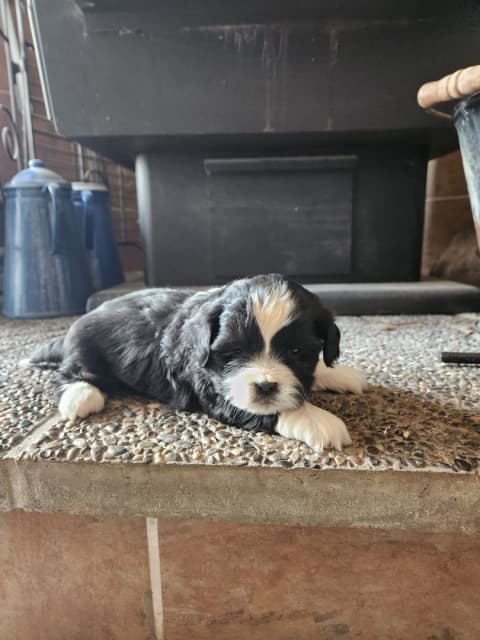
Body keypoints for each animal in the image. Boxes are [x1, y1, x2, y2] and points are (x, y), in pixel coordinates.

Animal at [27, 274, 366, 451]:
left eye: (297, 352)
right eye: (233, 352)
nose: (266, 386)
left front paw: (339, 375)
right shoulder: (212, 389)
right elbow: (261, 409)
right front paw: (319, 421)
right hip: (84, 350)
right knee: (71, 372)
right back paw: (81, 396)